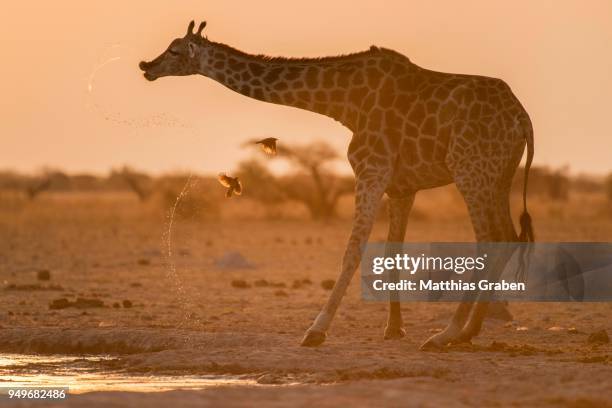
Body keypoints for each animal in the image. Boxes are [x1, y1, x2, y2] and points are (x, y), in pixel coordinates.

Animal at [141, 20, 532, 350]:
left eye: (175, 50)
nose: (147, 66)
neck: (345, 102)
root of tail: (522, 117)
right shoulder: (402, 187)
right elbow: (392, 251)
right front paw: (393, 328)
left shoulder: (371, 170)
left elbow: (352, 249)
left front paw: (316, 330)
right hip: (499, 175)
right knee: (507, 235)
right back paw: (467, 332)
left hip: (470, 169)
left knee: (488, 239)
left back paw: (446, 334)